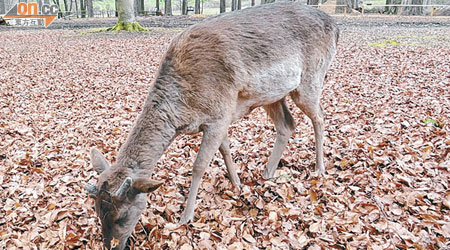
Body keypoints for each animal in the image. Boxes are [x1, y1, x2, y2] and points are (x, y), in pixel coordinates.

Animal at [83, 1, 338, 248]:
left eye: (122, 216)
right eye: (97, 212)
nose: (111, 245)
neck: (183, 112)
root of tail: (334, 25)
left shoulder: (219, 113)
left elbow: (198, 166)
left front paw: (186, 217)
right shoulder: (218, 118)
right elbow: (225, 149)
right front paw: (237, 184)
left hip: (311, 79)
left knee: (320, 117)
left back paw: (319, 168)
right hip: (272, 95)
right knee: (287, 124)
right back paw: (268, 172)